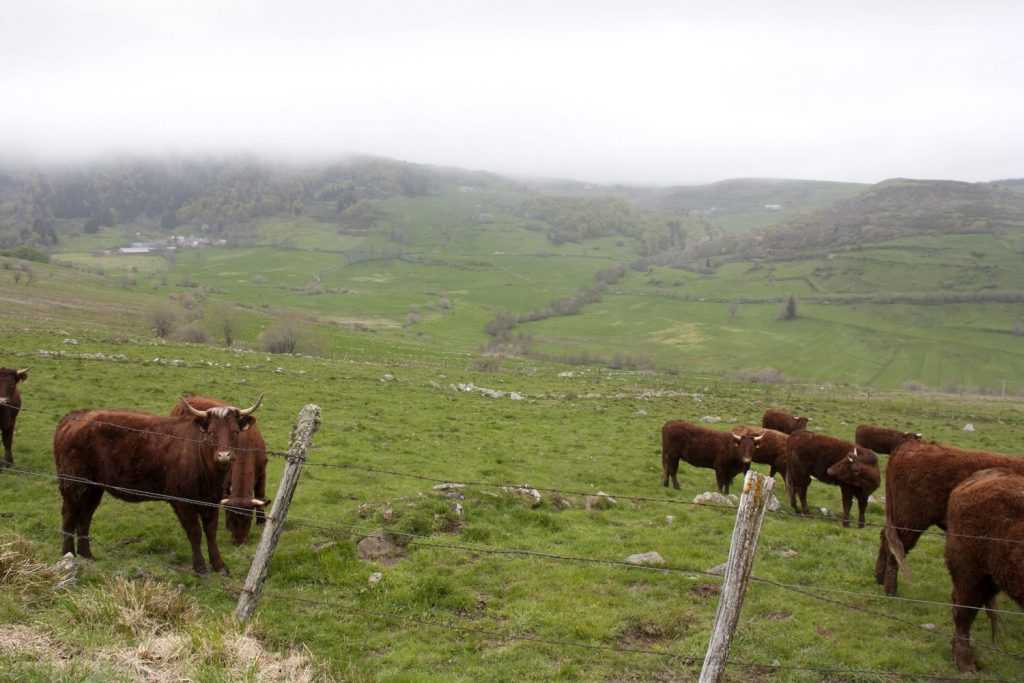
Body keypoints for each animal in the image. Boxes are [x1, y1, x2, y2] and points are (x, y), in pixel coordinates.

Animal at [169, 395, 270, 544]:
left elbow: (260, 494)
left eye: (248, 518)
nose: (239, 542)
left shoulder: (262, 471)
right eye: (233, 520)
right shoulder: (225, 479)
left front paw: (262, 521)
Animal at [872, 440, 1024, 593]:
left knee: (885, 539)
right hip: (910, 522)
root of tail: (912, 445)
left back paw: (879, 579)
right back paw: (891, 590)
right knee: (896, 548)